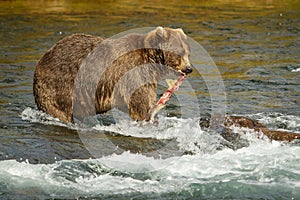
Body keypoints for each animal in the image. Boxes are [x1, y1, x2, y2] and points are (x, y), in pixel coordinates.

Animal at [32, 27, 192, 122]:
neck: (152, 62)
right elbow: (140, 103)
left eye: (188, 52)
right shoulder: (133, 73)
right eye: (179, 53)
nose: (189, 69)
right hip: (61, 84)